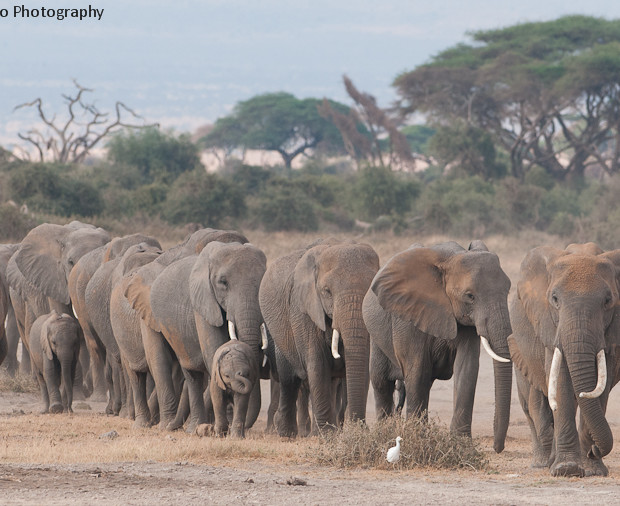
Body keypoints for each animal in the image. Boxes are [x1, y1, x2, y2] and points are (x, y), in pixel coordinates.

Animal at [260, 239, 380, 436]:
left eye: (371, 290)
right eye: (327, 291)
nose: (360, 427)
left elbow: (362, 366)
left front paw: (350, 432)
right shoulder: (304, 310)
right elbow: (317, 364)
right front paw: (327, 435)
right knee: (289, 380)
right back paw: (287, 433)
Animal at [508, 243, 620, 476]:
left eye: (608, 301)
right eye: (555, 299)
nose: (595, 450)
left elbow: (601, 386)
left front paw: (593, 471)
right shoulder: (549, 326)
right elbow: (560, 382)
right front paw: (566, 469)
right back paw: (544, 464)